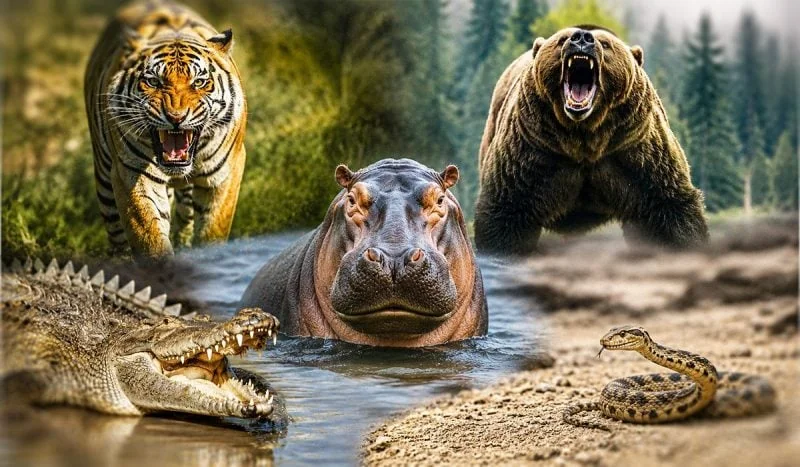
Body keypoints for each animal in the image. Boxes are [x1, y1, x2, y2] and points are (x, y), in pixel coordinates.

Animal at [84, 1, 247, 259]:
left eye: (199, 82)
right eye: (153, 82)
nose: (176, 118)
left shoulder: (225, 172)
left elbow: (213, 229)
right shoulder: (132, 173)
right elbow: (149, 235)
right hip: (105, 180)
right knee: (117, 235)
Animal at [474, 25, 709, 256]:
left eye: (605, 44)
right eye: (562, 39)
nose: (582, 38)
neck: (586, 139)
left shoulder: (637, 154)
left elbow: (668, 209)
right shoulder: (532, 154)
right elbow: (507, 211)